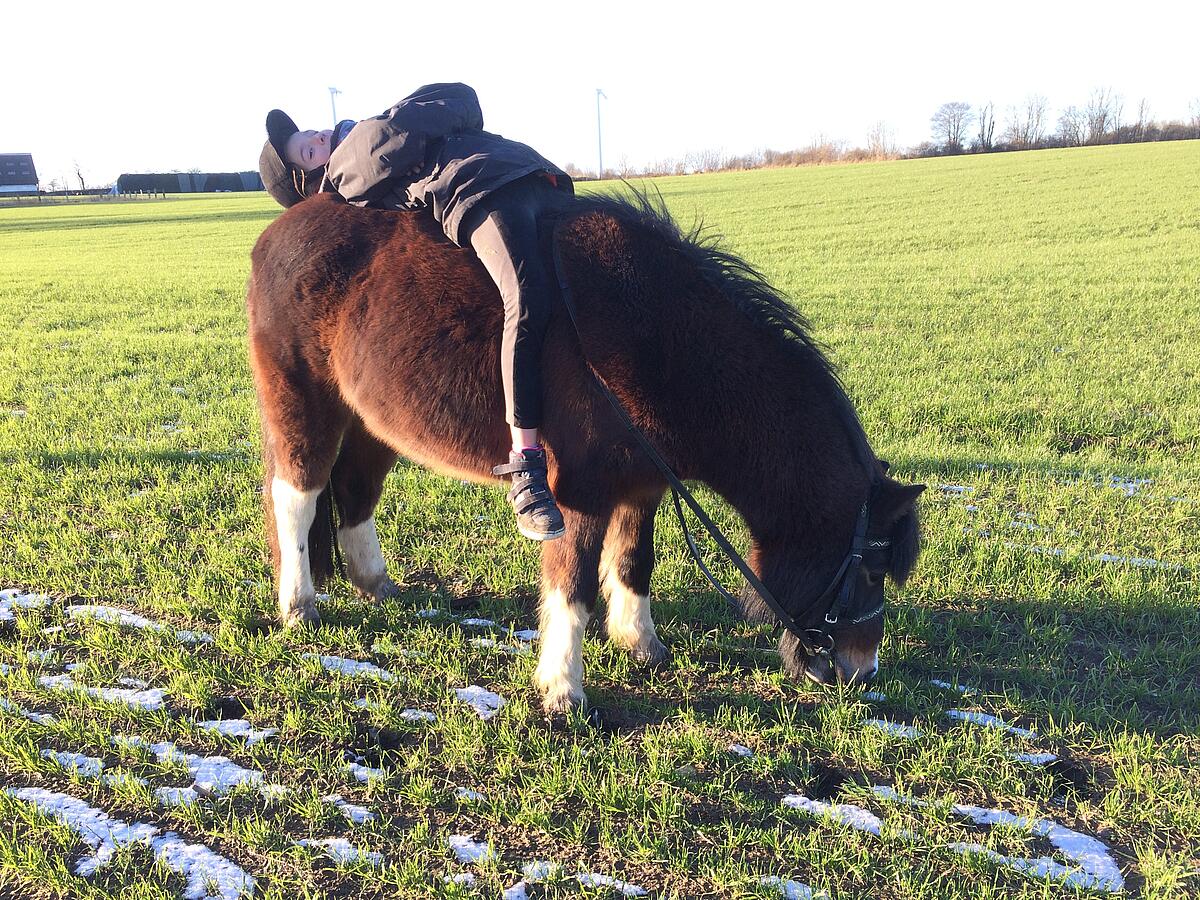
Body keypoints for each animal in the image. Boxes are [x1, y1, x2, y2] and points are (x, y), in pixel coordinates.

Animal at [246, 188, 924, 713]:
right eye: (870, 568)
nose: (860, 672)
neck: (657, 340)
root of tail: (277, 232)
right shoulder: (579, 491)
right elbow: (570, 583)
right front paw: (562, 689)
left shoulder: (643, 485)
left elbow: (632, 562)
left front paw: (640, 643)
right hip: (303, 397)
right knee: (298, 495)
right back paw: (299, 605)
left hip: (372, 420)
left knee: (355, 490)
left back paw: (376, 585)